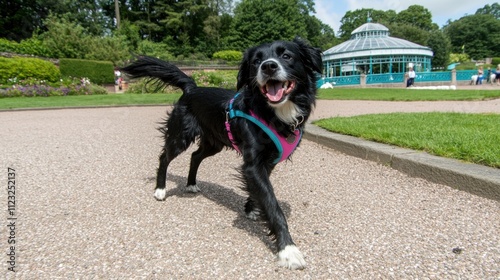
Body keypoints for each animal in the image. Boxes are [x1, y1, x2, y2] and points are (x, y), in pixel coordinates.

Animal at [123, 37, 322, 270]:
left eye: (286, 56)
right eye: (256, 61)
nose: (268, 66)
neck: (274, 113)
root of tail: (192, 88)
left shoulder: (266, 162)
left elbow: (260, 191)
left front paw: (251, 208)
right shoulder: (254, 163)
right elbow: (273, 205)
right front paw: (288, 250)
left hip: (213, 143)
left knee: (195, 157)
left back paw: (191, 184)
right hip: (180, 136)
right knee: (164, 157)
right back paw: (160, 190)